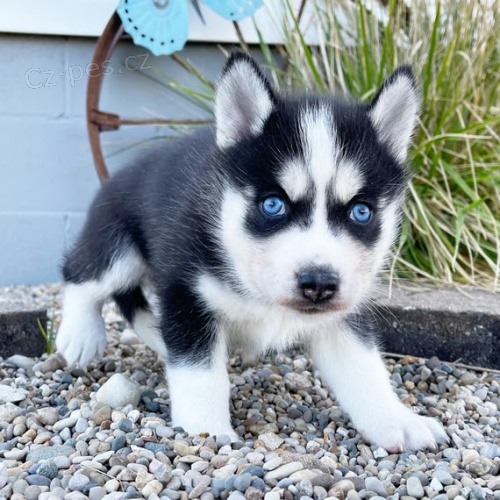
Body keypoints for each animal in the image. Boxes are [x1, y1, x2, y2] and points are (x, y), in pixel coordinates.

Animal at [56, 52, 448, 452]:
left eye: (361, 211)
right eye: (273, 204)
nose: (319, 284)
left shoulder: (344, 316)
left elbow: (365, 370)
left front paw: (396, 420)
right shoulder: (186, 292)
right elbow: (200, 374)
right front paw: (205, 431)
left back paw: (154, 332)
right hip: (119, 246)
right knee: (84, 274)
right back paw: (81, 334)